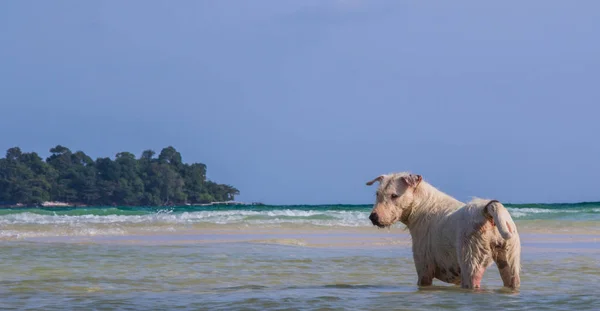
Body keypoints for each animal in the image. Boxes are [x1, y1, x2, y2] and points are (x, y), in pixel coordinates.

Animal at [366, 173, 520, 290]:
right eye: (377, 194)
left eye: (394, 196)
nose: (373, 217)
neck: (420, 206)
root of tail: (487, 209)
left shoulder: (424, 270)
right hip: (510, 259)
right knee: (512, 279)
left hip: (471, 262)